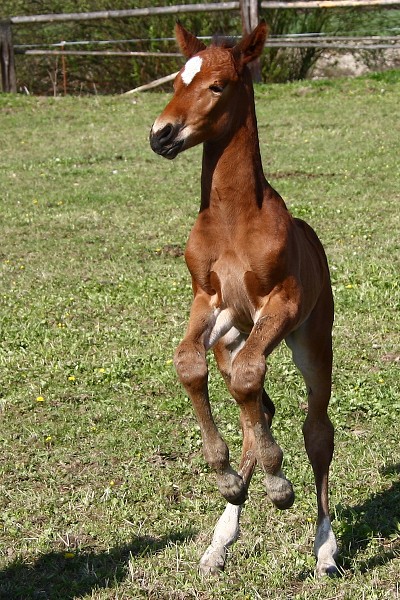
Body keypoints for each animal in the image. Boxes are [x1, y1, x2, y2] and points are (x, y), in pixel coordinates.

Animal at [149, 22, 338, 576]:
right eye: (176, 81)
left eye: (217, 86)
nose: (161, 134)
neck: (234, 218)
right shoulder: (209, 302)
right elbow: (189, 364)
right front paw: (227, 475)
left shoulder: (282, 304)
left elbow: (252, 378)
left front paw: (279, 486)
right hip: (230, 338)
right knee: (254, 404)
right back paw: (222, 535)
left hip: (312, 342)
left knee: (316, 429)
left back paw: (325, 547)